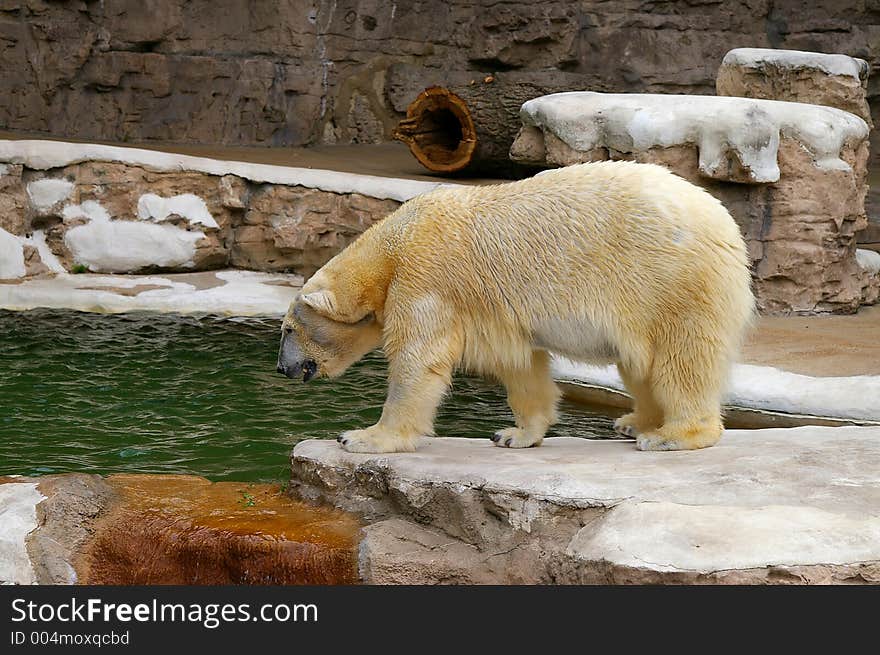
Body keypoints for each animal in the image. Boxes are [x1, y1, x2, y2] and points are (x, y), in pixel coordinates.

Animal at [278, 161, 752, 454]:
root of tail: (728, 228)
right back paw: (635, 422)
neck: (391, 249)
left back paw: (670, 435)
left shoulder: (426, 280)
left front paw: (362, 437)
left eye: (287, 329)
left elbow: (418, 361)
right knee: (640, 364)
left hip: (670, 282)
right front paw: (514, 434)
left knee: (683, 359)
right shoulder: (495, 313)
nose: (283, 368)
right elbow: (520, 363)